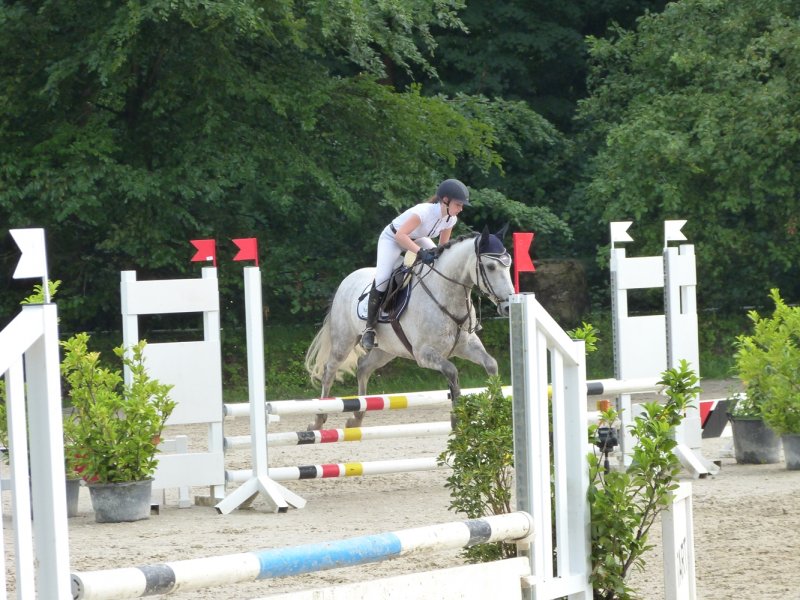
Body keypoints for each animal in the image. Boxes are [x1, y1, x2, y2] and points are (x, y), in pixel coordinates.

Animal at [304, 226, 515, 430]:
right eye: (490, 266)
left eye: (509, 265)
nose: (507, 307)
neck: (446, 293)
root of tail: (348, 279)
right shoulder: (424, 354)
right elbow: (452, 371)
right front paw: (456, 417)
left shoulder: (466, 345)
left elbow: (491, 364)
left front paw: (497, 408)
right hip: (344, 339)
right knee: (330, 370)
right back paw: (319, 419)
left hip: (387, 349)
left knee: (364, 367)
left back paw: (357, 418)